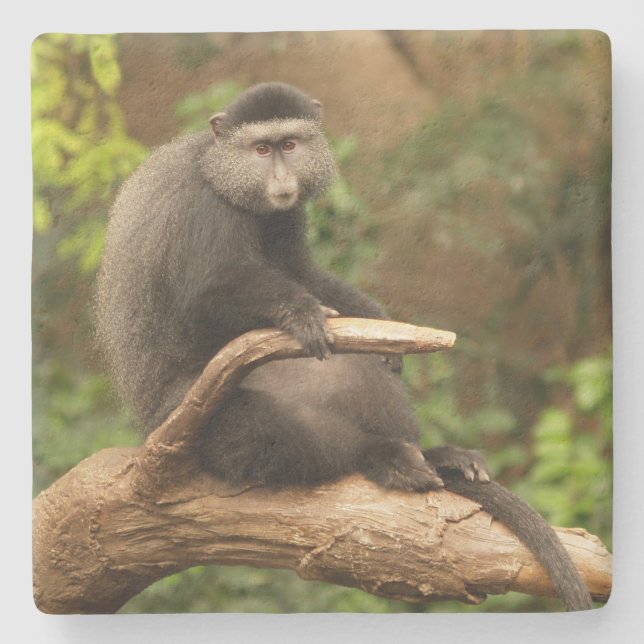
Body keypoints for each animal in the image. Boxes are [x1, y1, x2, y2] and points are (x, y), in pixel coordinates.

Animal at [95, 82, 593, 611]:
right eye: (261, 150)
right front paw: (298, 312)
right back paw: (382, 457)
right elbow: (205, 297)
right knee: (263, 430)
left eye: (290, 145)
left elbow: (303, 273)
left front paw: (380, 325)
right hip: (189, 416)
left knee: (357, 369)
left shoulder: (285, 215)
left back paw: (435, 455)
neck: (221, 171)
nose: (281, 176)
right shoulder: (204, 209)